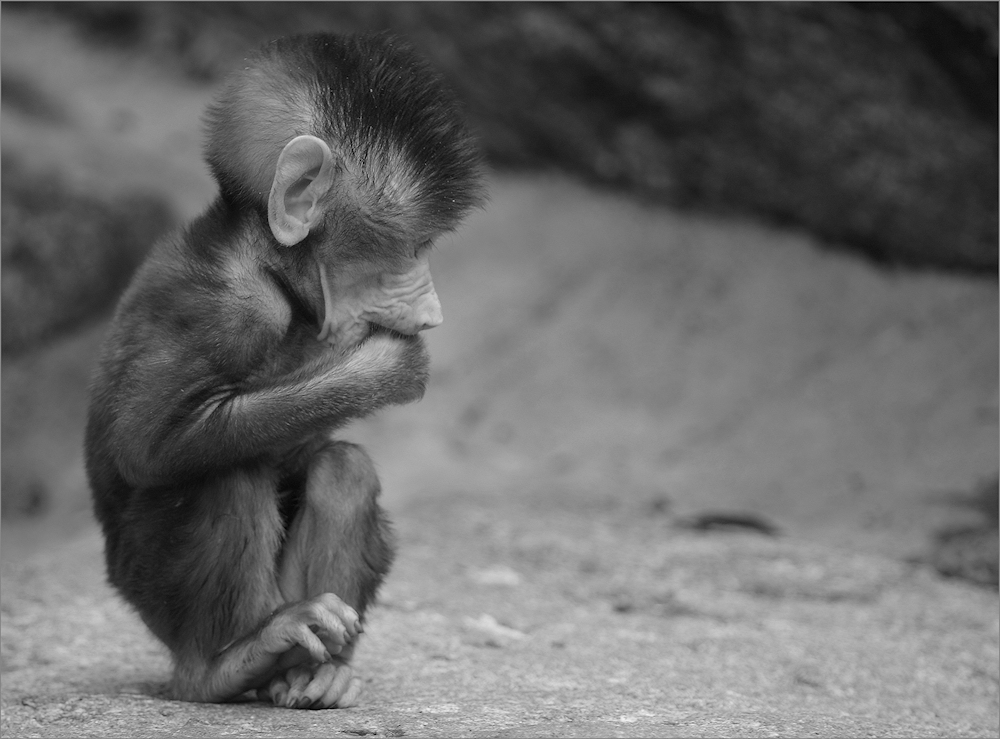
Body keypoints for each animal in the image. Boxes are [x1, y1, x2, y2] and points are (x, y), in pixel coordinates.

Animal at [86, 33, 484, 712]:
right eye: (412, 247)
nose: (433, 313)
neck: (267, 263)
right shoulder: (228, 308)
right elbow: (147, 444)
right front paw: (381, 367)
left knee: (344, 469)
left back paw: (305, 671)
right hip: (149, 587)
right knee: (226, 466)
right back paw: (227, 663)